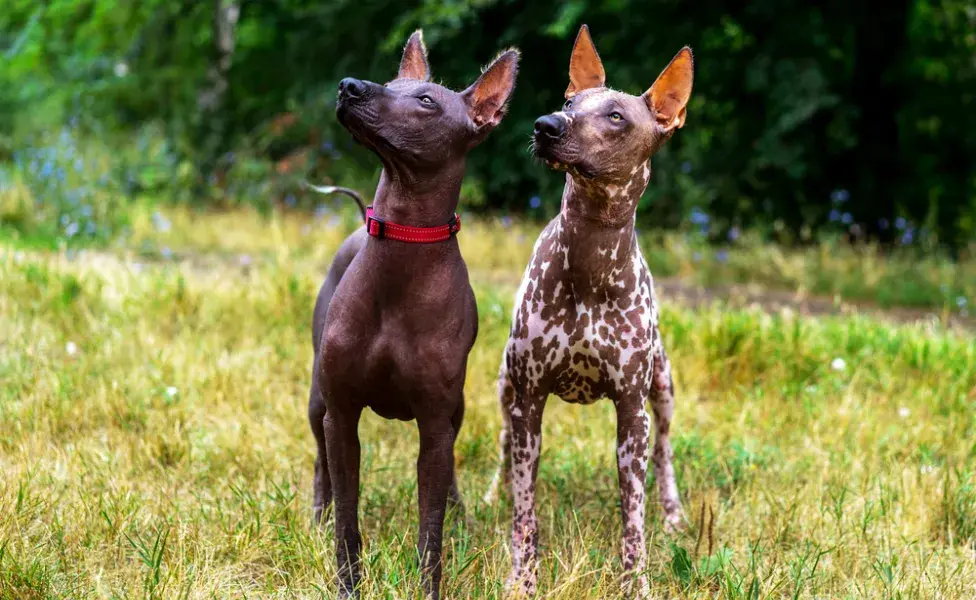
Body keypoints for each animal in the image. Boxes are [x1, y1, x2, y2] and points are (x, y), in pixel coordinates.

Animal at [306, 34, 520, 600]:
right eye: (389, 81)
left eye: (426, 101)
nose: (350, 86)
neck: (402, 245)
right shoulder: (342, 415)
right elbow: (348, 522)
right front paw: (348, 585)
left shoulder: (435, 424)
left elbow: (431, 528)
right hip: (317, 402)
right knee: (319, 461)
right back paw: (315, 515)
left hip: (456, 412)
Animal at [484, 23, 692, 596]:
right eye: (569, 101)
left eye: (616, 116)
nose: (546, 125)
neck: (590, 258)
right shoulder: (529, 400)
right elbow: (526, 513)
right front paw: (522, 577)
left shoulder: (632, 414)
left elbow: (632, 516)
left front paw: (636, 580)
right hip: (505, 385)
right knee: (504, 446)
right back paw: (491, 494)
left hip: (662, 388)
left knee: (665, 453)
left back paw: (674, 514)